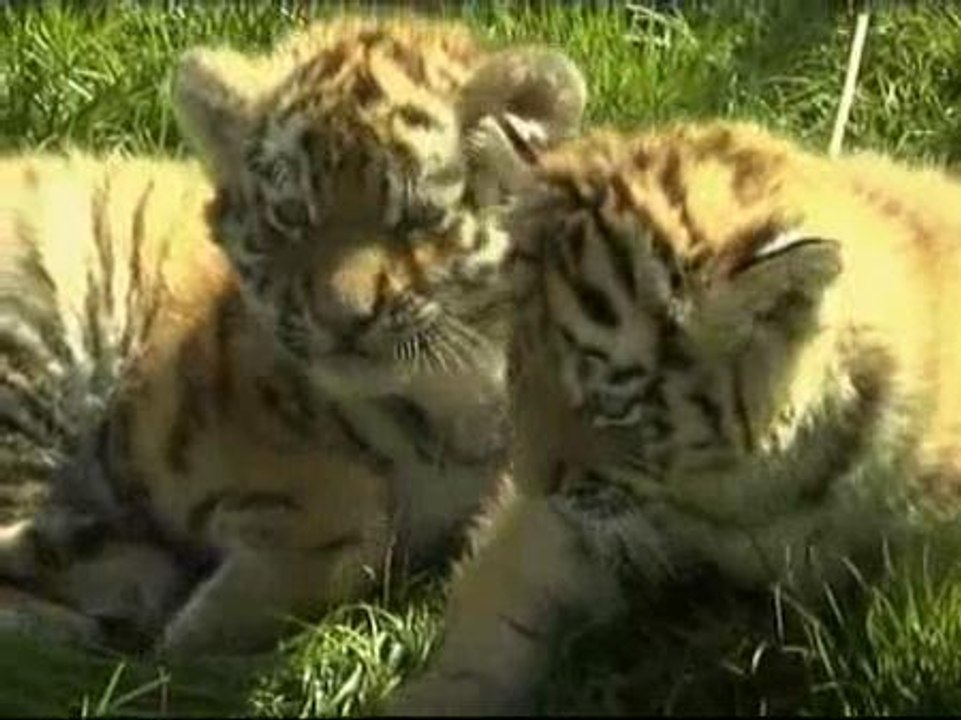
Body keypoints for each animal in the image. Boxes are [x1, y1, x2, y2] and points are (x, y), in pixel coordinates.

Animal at [0, 14, 587, 655]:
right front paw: (195, 620)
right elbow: (346, 519)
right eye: (292, 217)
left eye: (417, 219)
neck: (454, 392)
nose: (343, 315)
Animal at [386, 119, 961, 715]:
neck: (736, 497)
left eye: (611, 401)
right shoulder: (564, 528)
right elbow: (492, 626)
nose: (532, 483)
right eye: (520, 361)